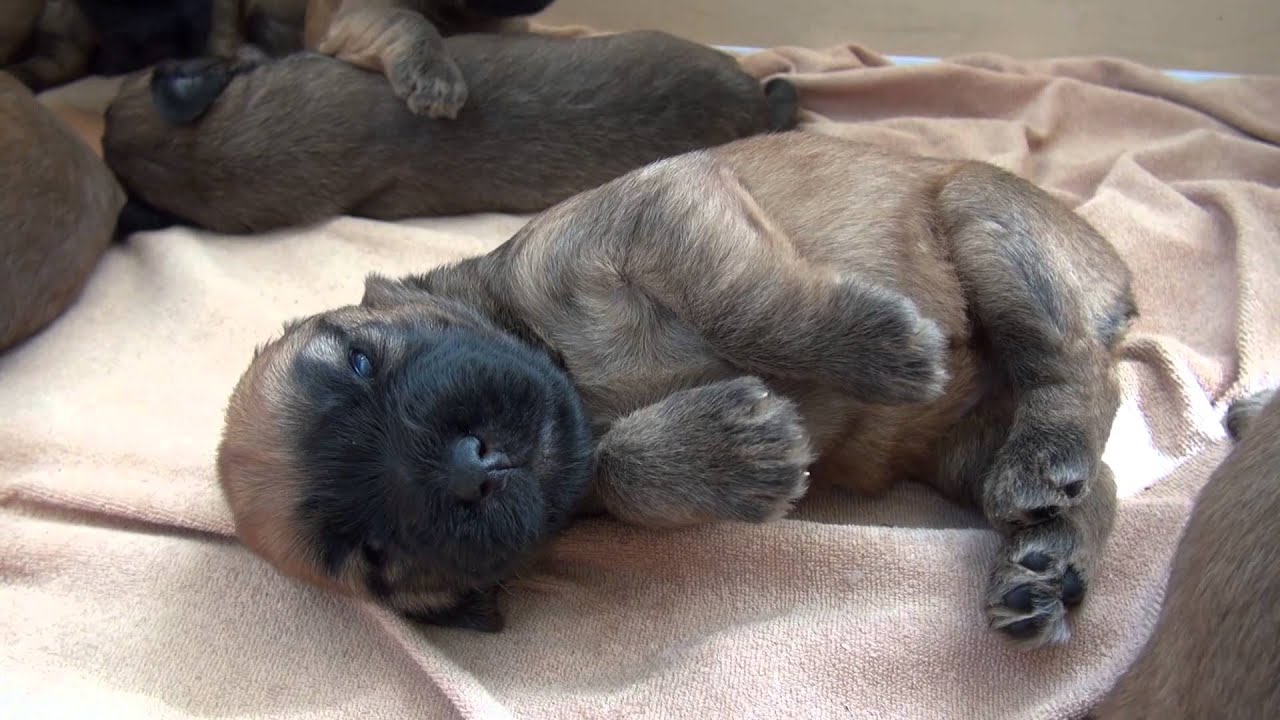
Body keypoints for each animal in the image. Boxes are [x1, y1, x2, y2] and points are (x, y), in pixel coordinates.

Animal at [215, 130, 1136, 645]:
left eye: (361, 361)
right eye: (374, 554)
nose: (471, 465)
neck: (583, 386)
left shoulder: (653, 212)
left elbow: (747, 303)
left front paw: (887, 345)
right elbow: (615, 467)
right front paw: (730, 447)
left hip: (987, 224)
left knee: (1073, 363)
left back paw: (1042, 455)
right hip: (964, 449)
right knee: (1103, 477)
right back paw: (1044, 560)